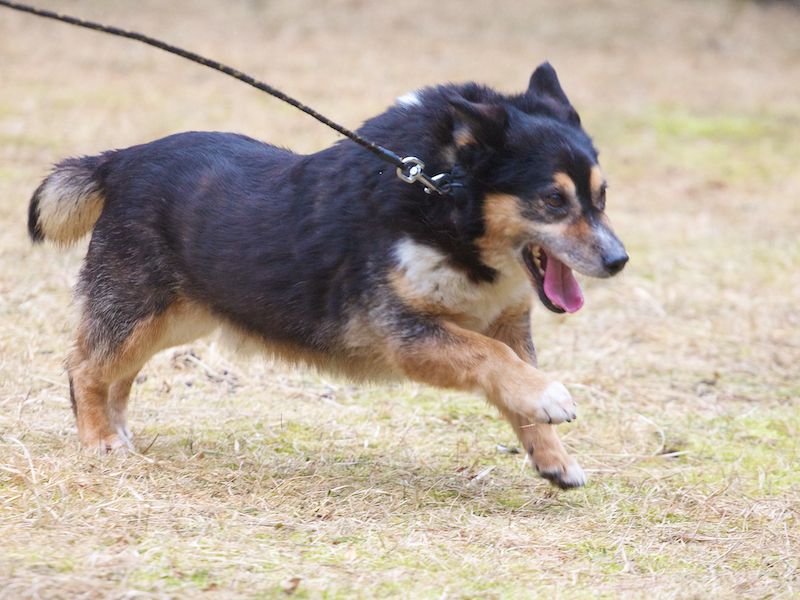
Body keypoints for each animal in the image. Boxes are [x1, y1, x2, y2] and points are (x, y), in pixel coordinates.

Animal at [27, 62, 627, 489]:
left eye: (602, 196)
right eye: (553, 200)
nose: (619, 261)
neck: (443, 198)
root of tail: (118, 160)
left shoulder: (506, 322)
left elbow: (515, 387)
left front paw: (553, 460)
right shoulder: (408, 333)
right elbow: (494, 361)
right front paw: (552, 397)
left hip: (172, 318)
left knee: (117, 372)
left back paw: (118, 432)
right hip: (138, 310)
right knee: (84, 367)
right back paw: (100, 441)